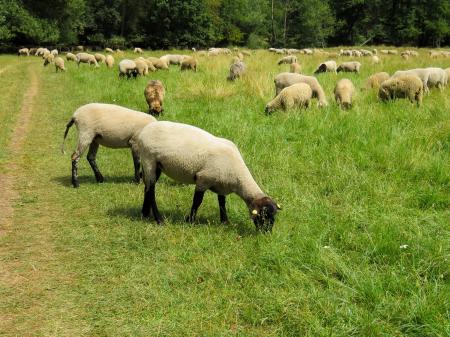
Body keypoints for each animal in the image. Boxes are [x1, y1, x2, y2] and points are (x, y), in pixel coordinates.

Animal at [137, 121, 282, 231]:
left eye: (273, 217)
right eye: (263, 217)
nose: (266, 233)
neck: (238, 177)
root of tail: (144, 131)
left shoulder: (222, 185)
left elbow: (222, 203)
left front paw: (225, 221)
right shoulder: (203, 179)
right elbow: (197, 201)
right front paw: (190, 220)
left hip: (156, 165)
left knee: (147, 188)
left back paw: (144, 213)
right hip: (149, 159)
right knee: (151, 190)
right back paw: (159, 219)